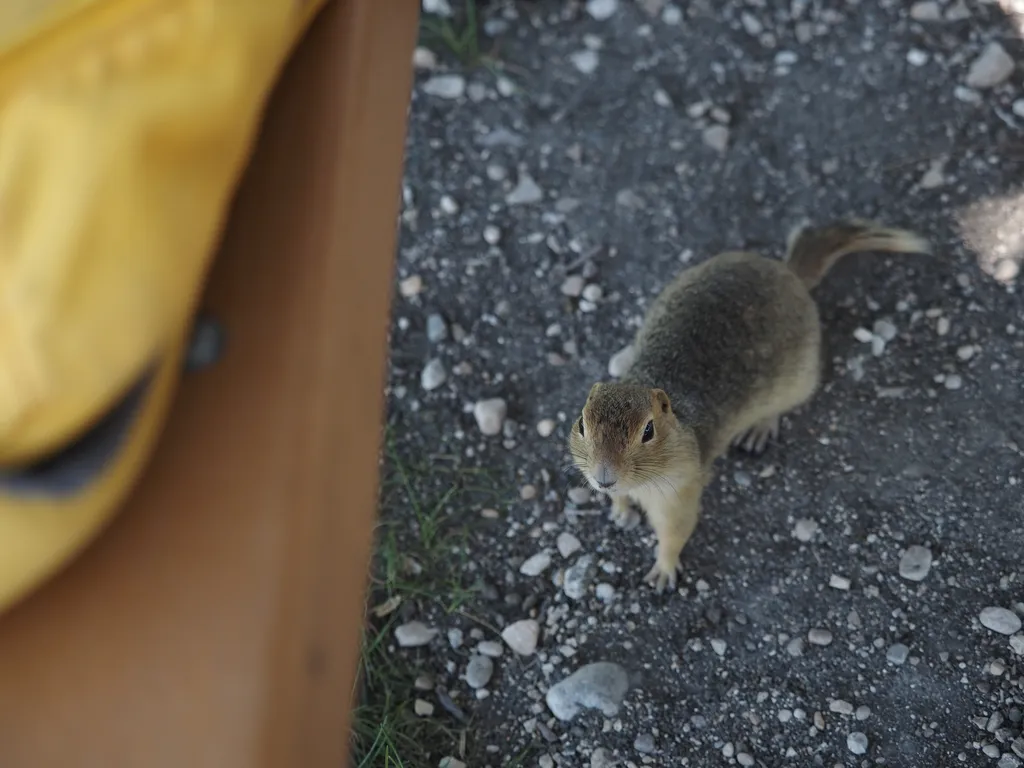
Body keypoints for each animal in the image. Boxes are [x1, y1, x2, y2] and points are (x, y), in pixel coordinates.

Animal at [569, 219, 929, 593]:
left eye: (648, 431)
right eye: (581, 424)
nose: (604, 477)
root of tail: (790, 273)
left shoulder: (679, 492)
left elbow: (675, 533)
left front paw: (663, 572)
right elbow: (621, 499)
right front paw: (619, 509)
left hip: (797, 383)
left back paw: (759, 431)